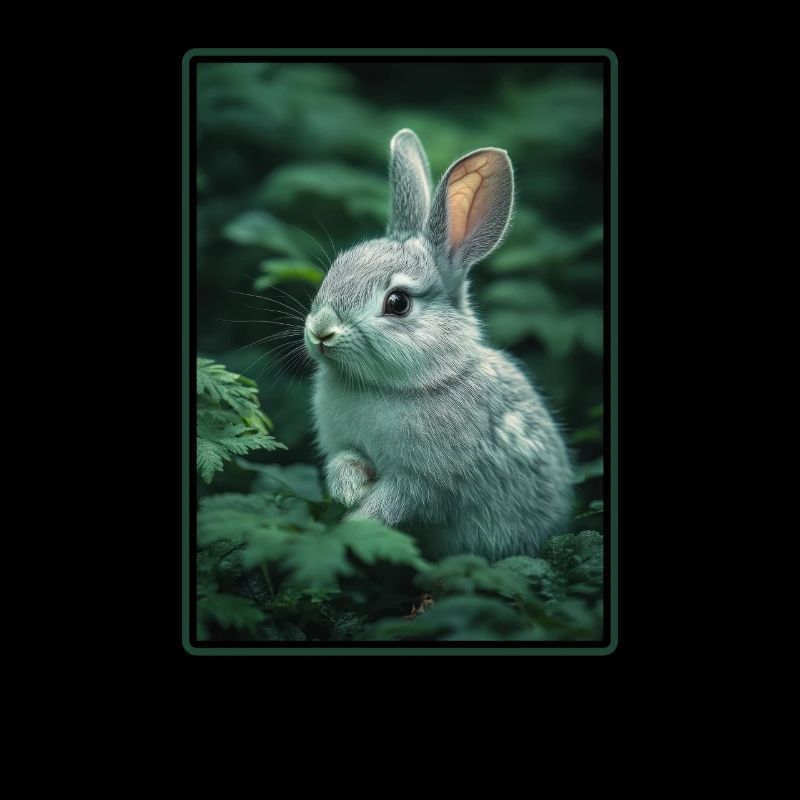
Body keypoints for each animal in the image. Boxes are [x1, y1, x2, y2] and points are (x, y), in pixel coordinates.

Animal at [304, 129, 573, 561]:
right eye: (337, 267)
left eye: (398, 303)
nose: (321, 331)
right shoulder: (344, 447)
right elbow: (344, 462)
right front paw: (351, 490)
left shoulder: (425, 483)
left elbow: (395, 501)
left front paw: (355, 524)